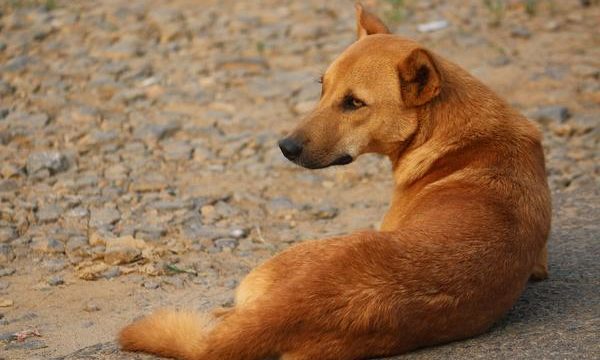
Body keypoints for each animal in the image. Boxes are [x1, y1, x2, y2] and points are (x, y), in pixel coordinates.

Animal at [118, 3, 552, 360]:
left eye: (355, 103)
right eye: (322, 87)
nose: (285, 147)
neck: (461, 138)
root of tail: (291, 307)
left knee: (227, 315)